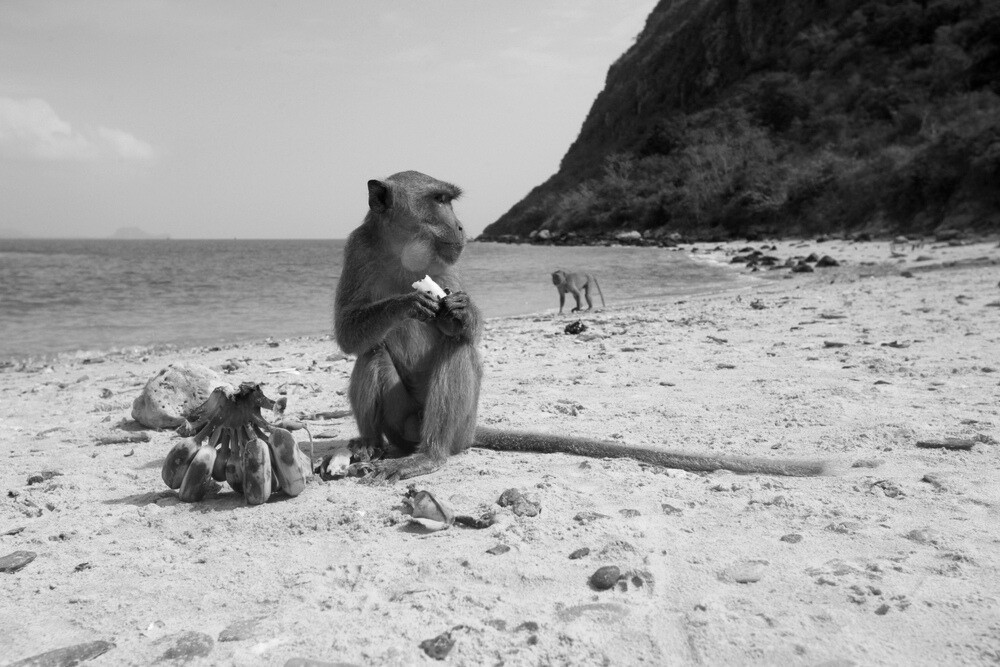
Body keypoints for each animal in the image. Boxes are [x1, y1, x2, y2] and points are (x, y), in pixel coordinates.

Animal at [333, 171, 829, 482]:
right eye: (439, 200)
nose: (459, 227)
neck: (403, 254)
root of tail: (462, 434)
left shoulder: (444, 264)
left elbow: (466, 332)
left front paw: (459, 312)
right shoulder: (358, 248)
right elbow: (348, 333)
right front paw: (408, 302)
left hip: (456, 427)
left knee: (457, 354)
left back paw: (429, 457)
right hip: (405, 425)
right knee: (373, 352)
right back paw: (371, 445)